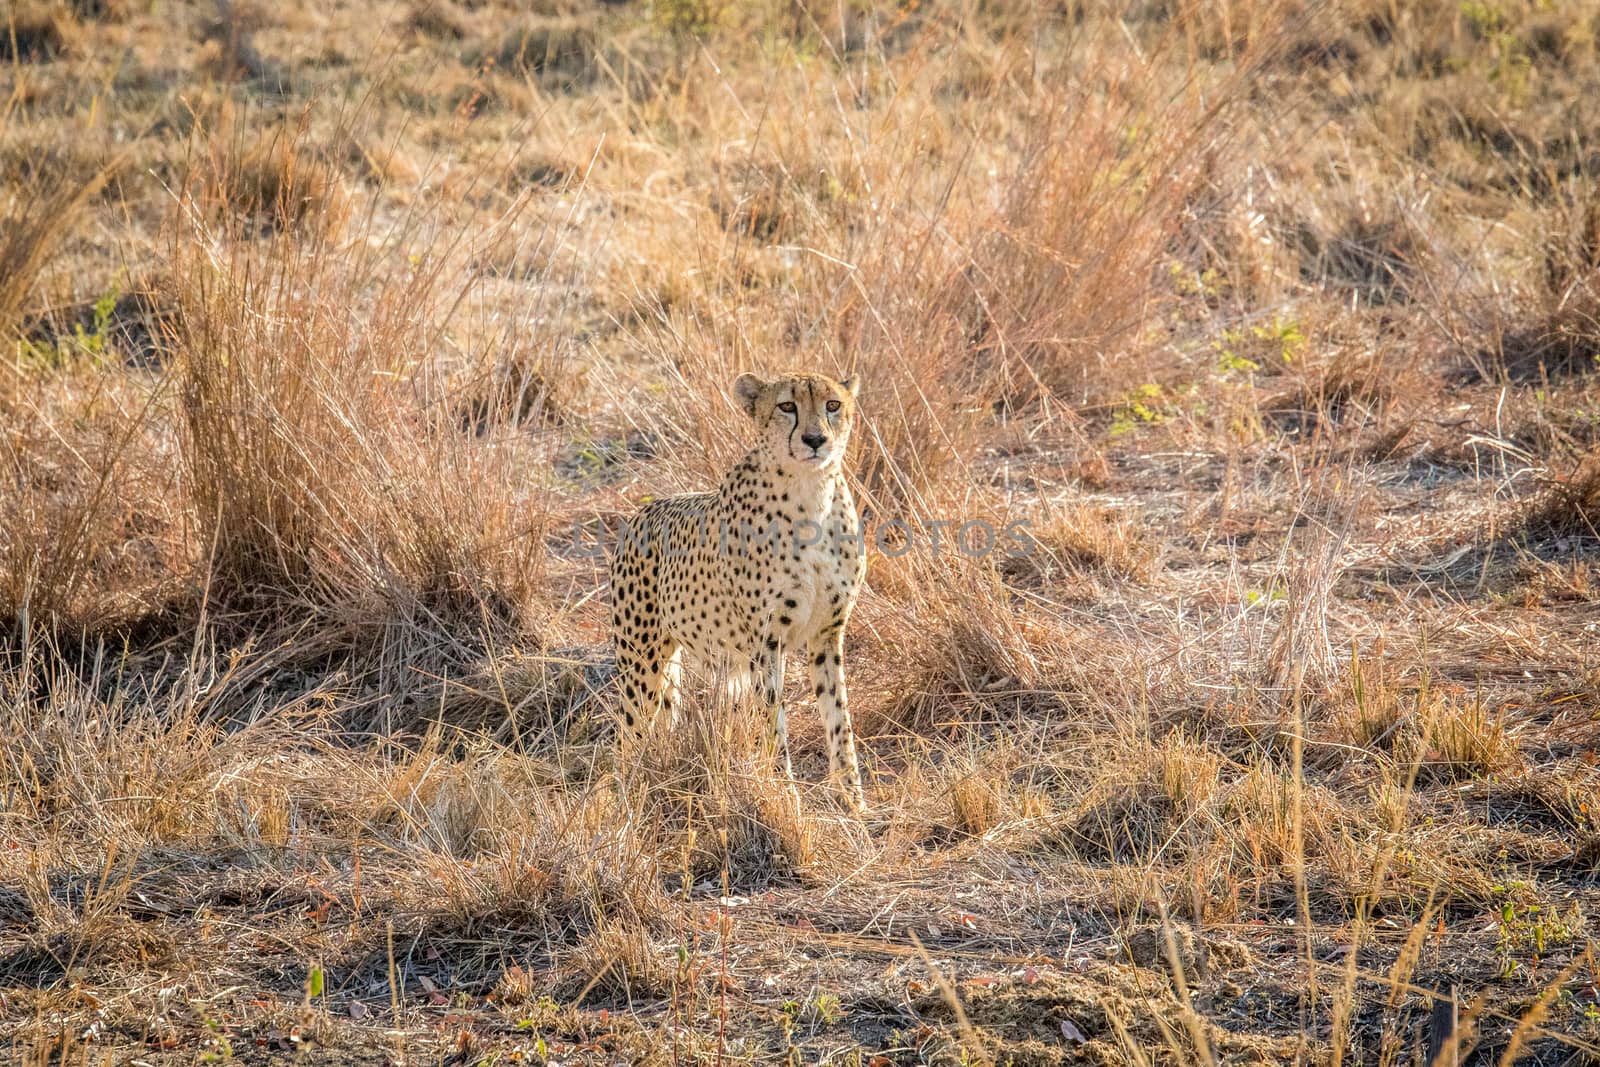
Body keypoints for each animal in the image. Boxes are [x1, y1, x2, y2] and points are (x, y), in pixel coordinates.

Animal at [604, 374, 870, 809]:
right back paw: (621, 802)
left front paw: (853, 801)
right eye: (786, 406)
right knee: (628, 737)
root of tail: (645, 509)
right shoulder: (767, 643)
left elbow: (838, 717)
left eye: (832, 404)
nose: (815, 439)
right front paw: (788, 800)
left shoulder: (828, 635)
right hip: (641, 663)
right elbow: (773, 722)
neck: (812, 492)